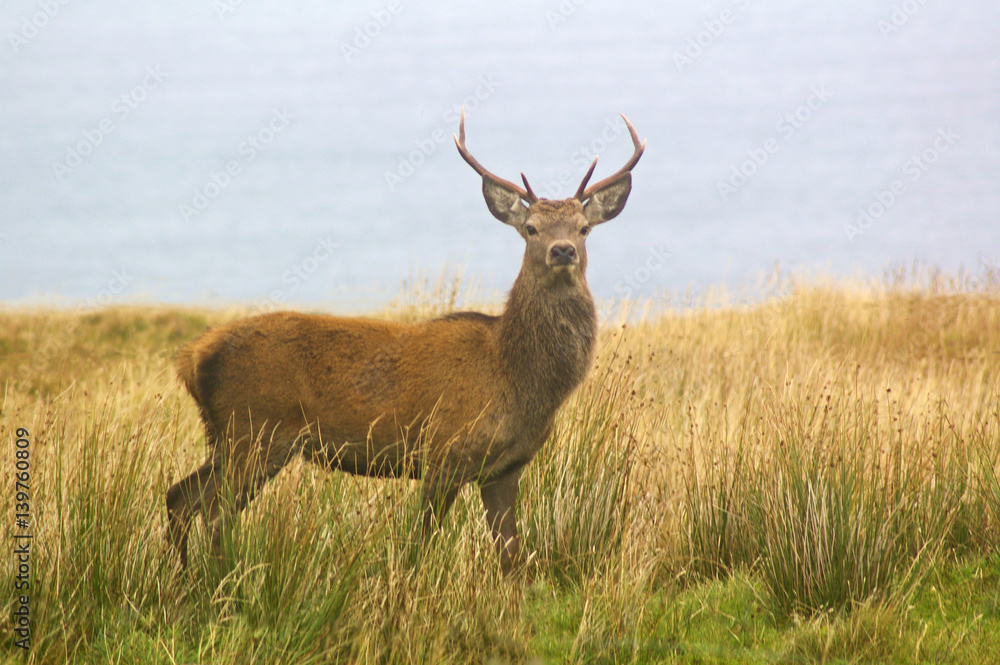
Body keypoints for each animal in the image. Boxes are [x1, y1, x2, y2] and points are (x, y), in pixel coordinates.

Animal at [166, 109, 645, 574]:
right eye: (530, 227)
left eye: (583, 228)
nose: (562, 250)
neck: (514, 375)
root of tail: (192, 358)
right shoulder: (444, 451)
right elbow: (420, 542)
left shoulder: (505, 469)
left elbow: (510, 555)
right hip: (255, 431)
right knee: (215, 512)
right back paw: (220, 578)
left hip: (229, 438)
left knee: (180, 496)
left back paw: (183, 578)